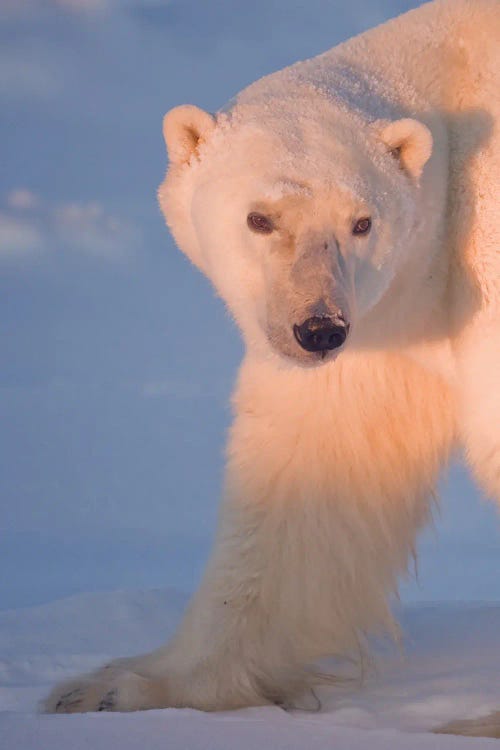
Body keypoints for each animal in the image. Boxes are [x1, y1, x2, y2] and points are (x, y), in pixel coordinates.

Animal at [45, 0, 498, 740]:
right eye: (260, 218)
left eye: (362, 222)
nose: (317, 328)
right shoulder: (386, 325)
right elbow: (315, 471)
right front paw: (113, 688)